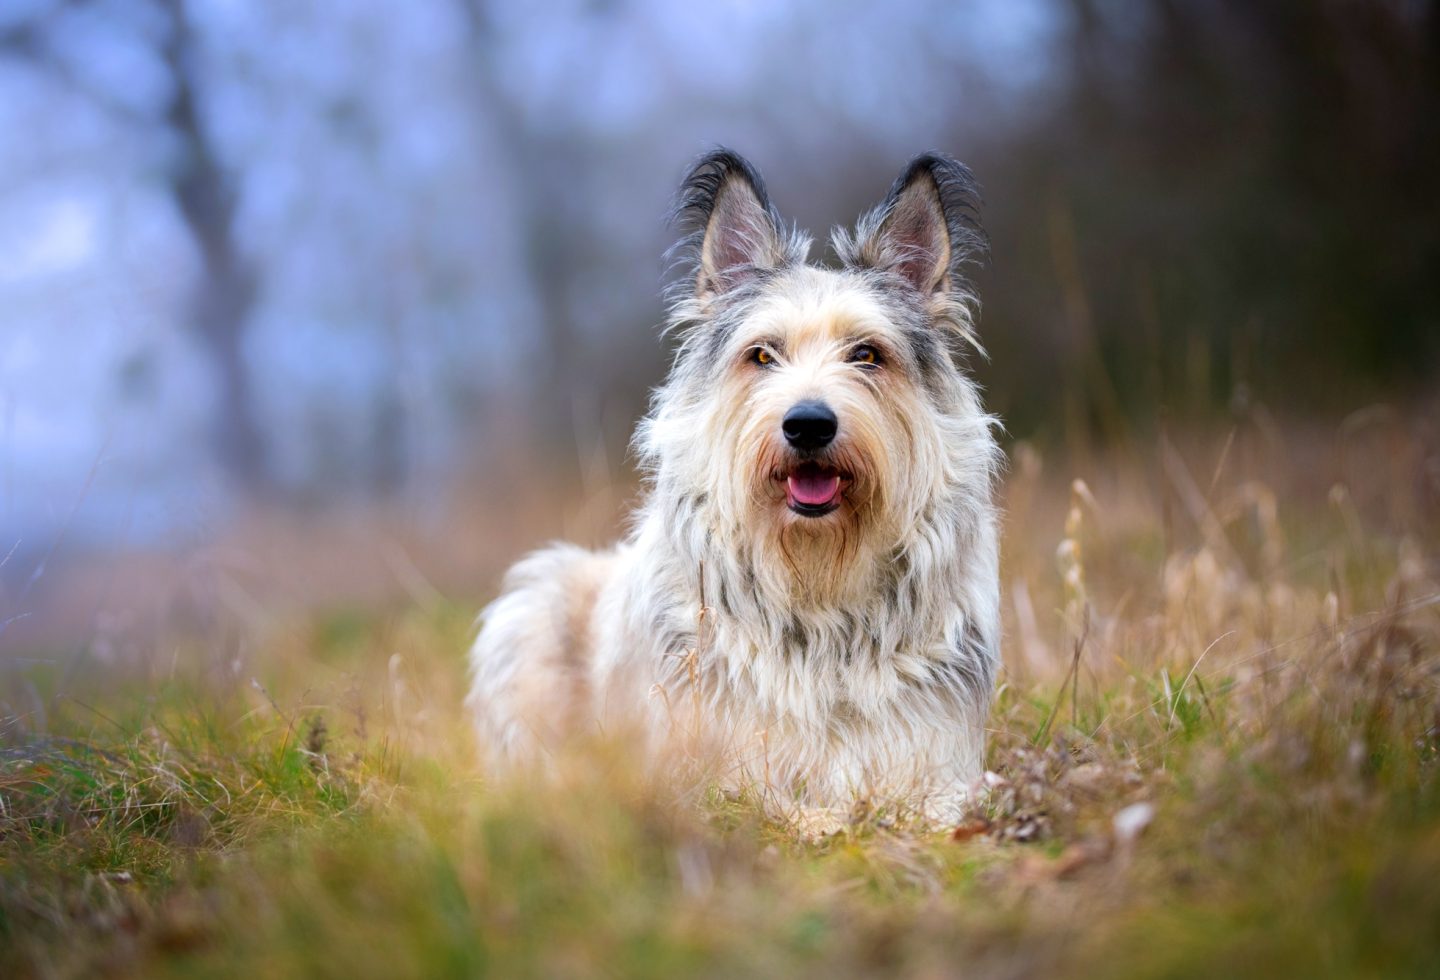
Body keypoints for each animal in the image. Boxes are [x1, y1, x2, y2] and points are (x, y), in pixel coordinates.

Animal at [466, 148, 996, 823]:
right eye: (763, 355)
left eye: (867, 354)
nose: (808, 423)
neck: (816, 584)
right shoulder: (713, 771)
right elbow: (785, 809)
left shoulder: (936, 765)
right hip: (535, 602)